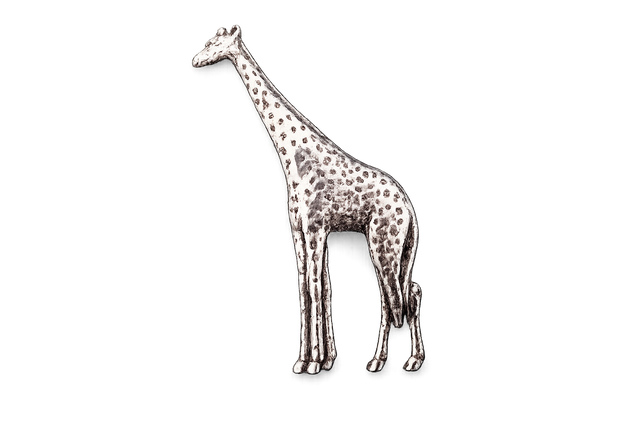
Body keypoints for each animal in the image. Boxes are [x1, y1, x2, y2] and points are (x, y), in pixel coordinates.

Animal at [191, 22, 426, 375]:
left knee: (394, 295)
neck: (293, 155)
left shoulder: (315, 228)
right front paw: (313, 359)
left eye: (215, 41)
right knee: (405, 291)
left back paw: (386, 361)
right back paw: (402, 359)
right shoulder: (300, 230)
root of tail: (410, 210)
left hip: (383, 240)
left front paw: (313, 362)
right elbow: (312, 287)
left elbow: (315, 287)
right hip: (400, 247)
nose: (194, 58)